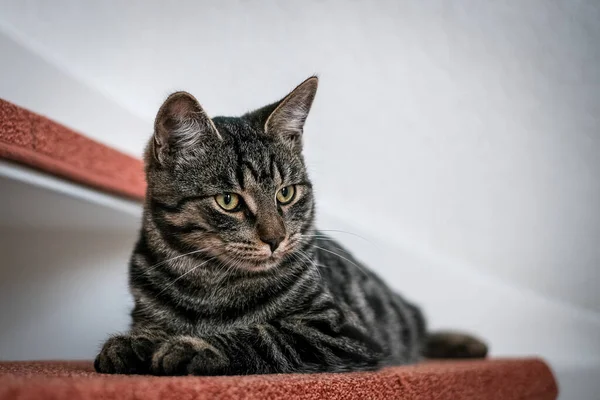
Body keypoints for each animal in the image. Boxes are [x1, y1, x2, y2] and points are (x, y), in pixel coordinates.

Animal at [95, 77, 488, 376]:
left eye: (286, 193)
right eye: (228, 200)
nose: (275, 238)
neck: (208, 283)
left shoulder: (343, 332)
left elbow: (264, 335)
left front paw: (195, 347)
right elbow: (148, 328)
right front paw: (132, 343)